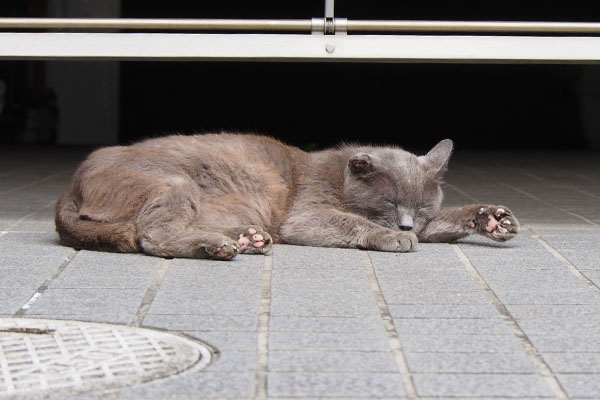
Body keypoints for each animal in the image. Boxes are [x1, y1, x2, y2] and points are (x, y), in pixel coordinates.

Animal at [54, 133, 516, 260]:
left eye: (420, 208)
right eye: (388, 203)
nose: (405, 224)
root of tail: (72, 183)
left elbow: (446, 220)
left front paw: (492, 218)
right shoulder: (305, 215)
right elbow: (352, 221)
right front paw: (393, 237)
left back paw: (248, 238)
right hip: (173, 184)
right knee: (151, 235)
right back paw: (218, 246)